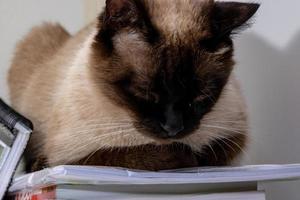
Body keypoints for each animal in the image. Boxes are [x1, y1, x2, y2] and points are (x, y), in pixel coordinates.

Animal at [8, 0, 258, 172]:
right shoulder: (68, 158)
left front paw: (194, 155)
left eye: (199, 98)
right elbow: (120, 155)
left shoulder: (235, 134)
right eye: (145, 94)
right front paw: (184, 155)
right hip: (38, 35)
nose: (173, 128)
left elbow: (212, 152)